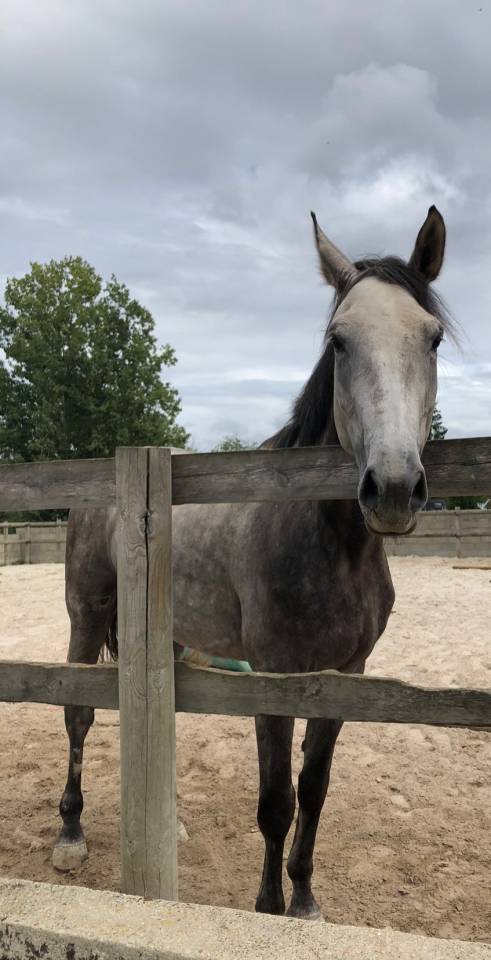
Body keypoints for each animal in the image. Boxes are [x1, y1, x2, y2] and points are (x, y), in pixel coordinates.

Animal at [54, 206, 450, 920]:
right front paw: (268, 905)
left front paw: (305, 900)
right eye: (339, 341)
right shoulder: (273, 677)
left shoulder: (345, 675)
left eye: (431, 338)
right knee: (77, 714)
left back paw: (169, 824)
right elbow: (275, 802)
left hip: (169, 639)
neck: (323, 540)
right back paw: (69, 833)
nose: (394, 488)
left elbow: (314, 790)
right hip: (87, 614)